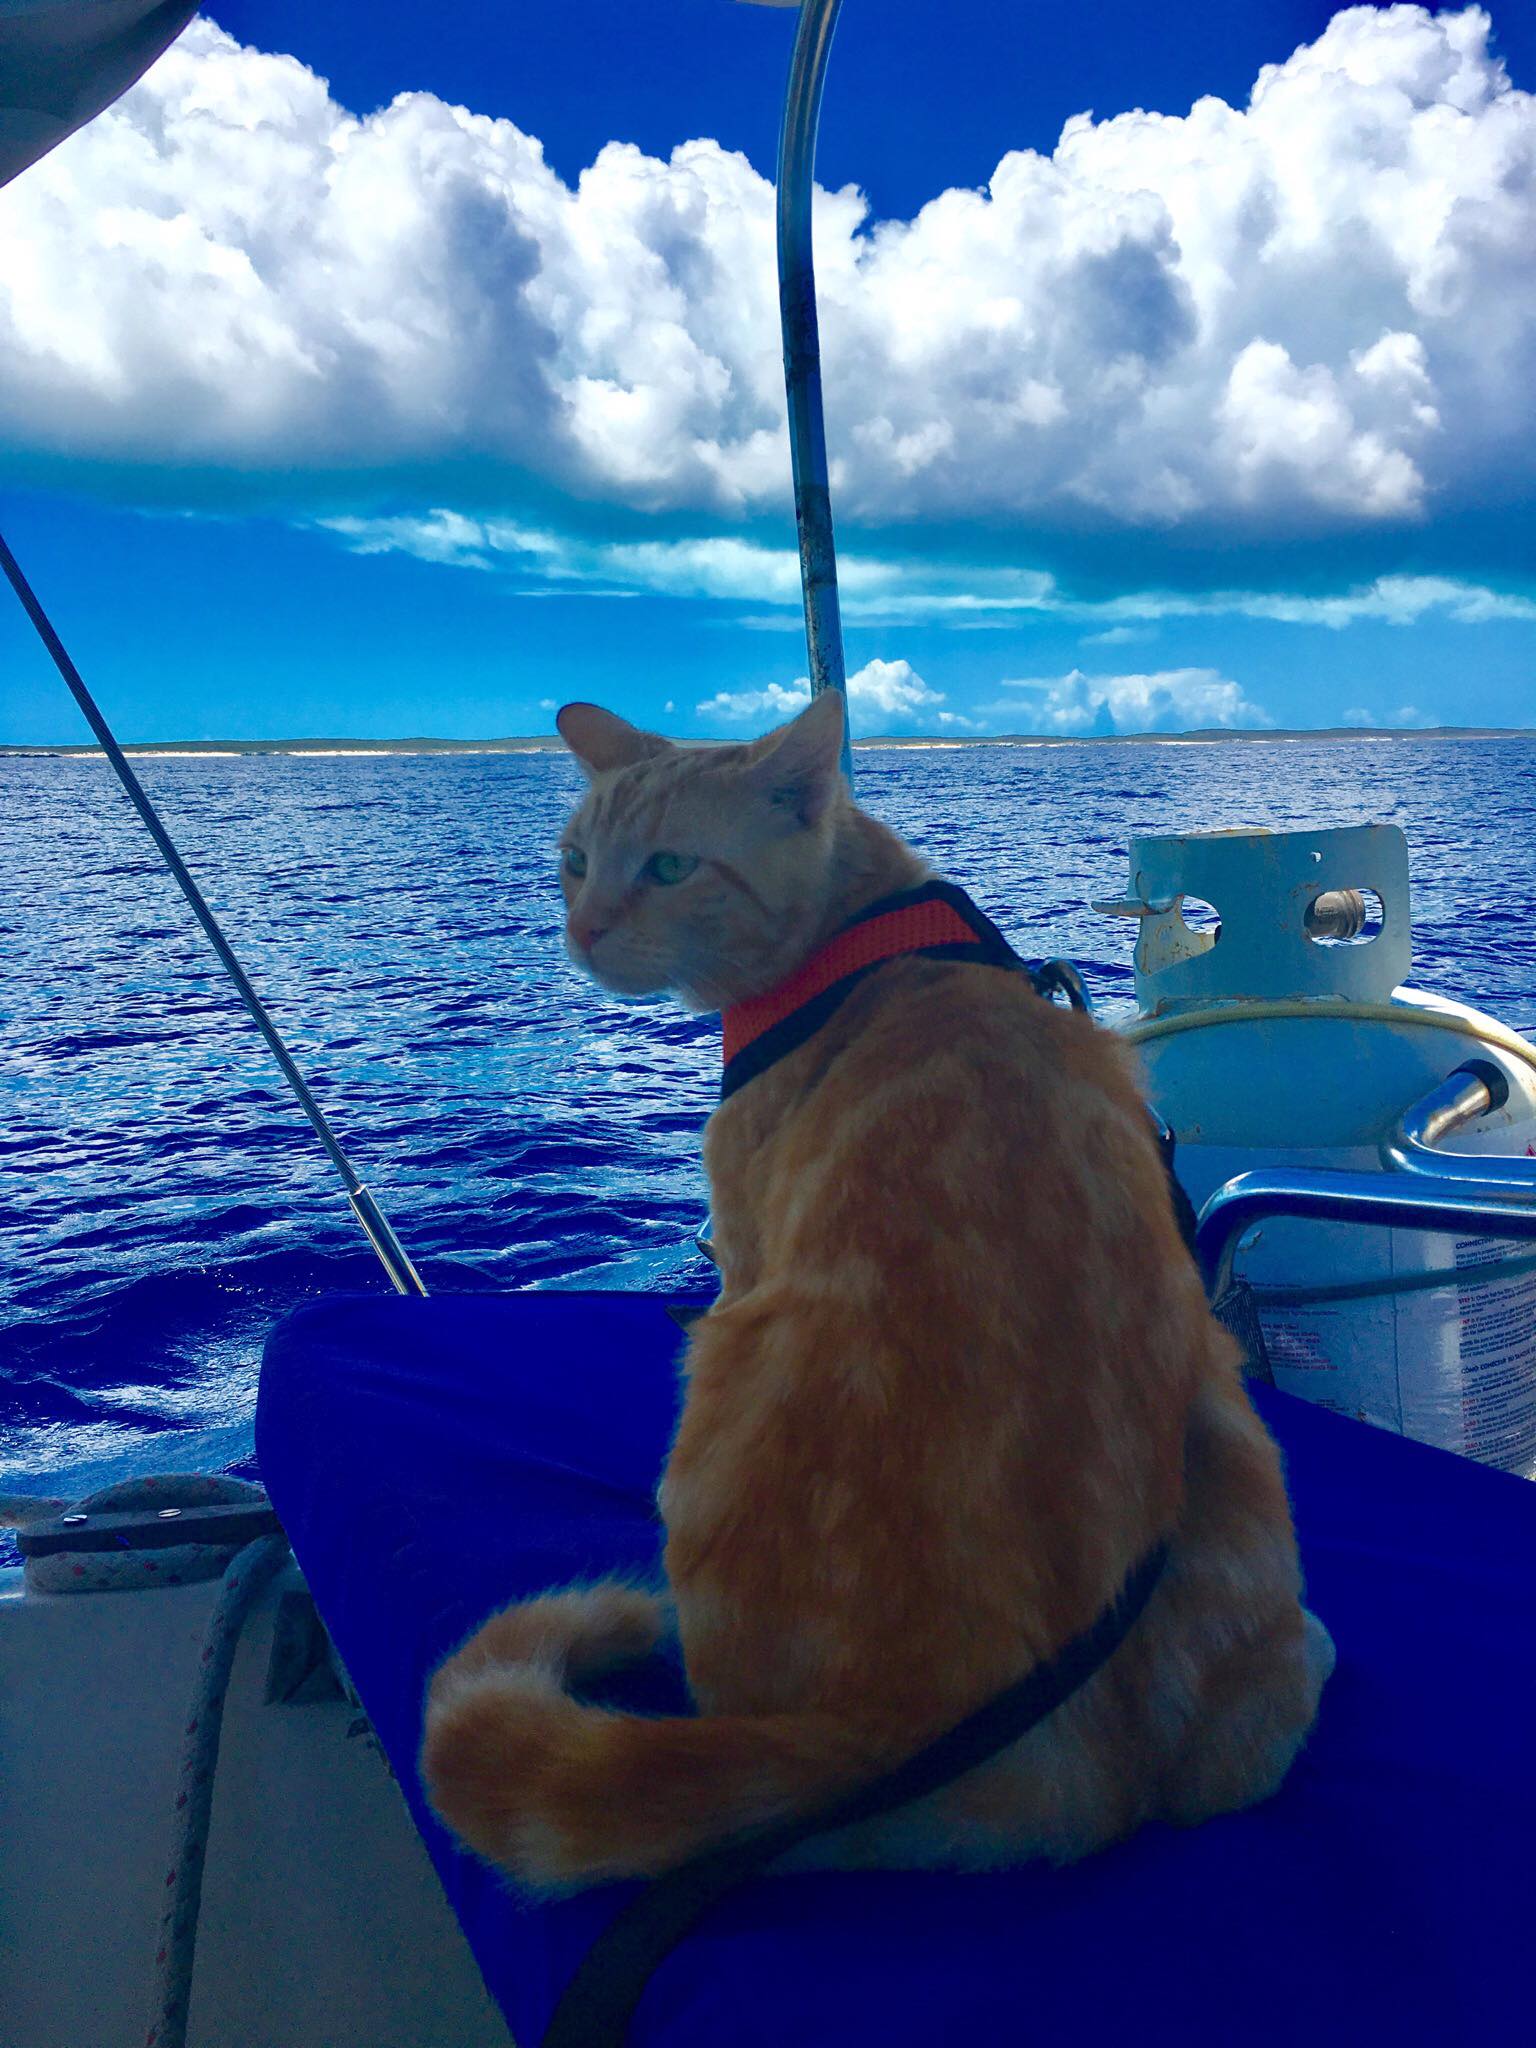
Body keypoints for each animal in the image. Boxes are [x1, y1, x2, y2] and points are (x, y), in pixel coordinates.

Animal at [423, 692, 1335, 1884]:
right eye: (574, 861)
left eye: (669, 866)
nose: (582, 930)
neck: (866, 934)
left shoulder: (743, 1238)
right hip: (1233, 1429)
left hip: (725, 1367)